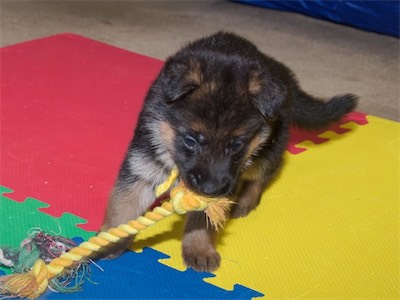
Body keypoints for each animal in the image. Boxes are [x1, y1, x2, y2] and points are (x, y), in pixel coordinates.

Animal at [101, 32, 358, 272]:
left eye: (236, 145)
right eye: (190, 141)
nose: (210, 189)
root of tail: (281, 73)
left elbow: (203, 218)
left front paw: (199, 248)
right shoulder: (142, 166)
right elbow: (123, 208)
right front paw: (109, 241)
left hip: (267, 148)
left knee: (262, 175)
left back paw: (245, 202)